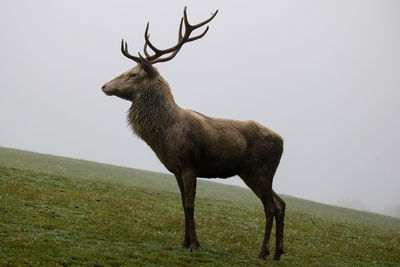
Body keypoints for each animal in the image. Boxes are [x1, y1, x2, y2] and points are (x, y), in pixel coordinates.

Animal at [101, 7, 286, 260]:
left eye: (132, 74)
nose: (104, 86)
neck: (164, 134)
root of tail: (283, 141)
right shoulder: (176, 169)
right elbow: (182, 203)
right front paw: (184, 241)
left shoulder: (190, 165)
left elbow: (190, 204)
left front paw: (195, 245)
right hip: (254, 174)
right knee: (281, 204)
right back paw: (278, 252)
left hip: (260, 170)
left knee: (271, 207)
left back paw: (263, 252)